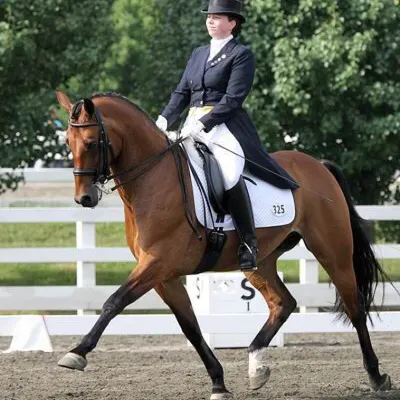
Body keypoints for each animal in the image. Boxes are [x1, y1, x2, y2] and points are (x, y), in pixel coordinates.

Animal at [54, 89, 392, 398]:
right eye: (67, 143)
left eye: (91, 142)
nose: (84, 198)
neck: (153, 179)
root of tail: (318, 165)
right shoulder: (163, 275)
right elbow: (190, 326)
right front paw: (218, 382)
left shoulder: (156, 263)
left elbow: (115, 301)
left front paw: (77, 353)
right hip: (259, 261)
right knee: (283, 303)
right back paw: (256, 366)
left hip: (333, 252)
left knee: (354, 307)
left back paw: (376, 377)